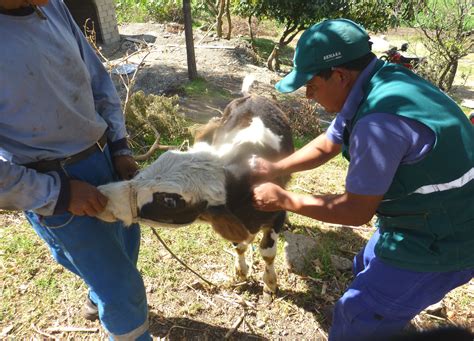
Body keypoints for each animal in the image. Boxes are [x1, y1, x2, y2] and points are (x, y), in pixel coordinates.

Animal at [97, 89, 292, 298]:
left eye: (169, 201)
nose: (104, 195)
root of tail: (253, 96)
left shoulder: (276, 212)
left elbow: (267, 252)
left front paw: (270, 284)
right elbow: (239, 245)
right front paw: (241, 272)